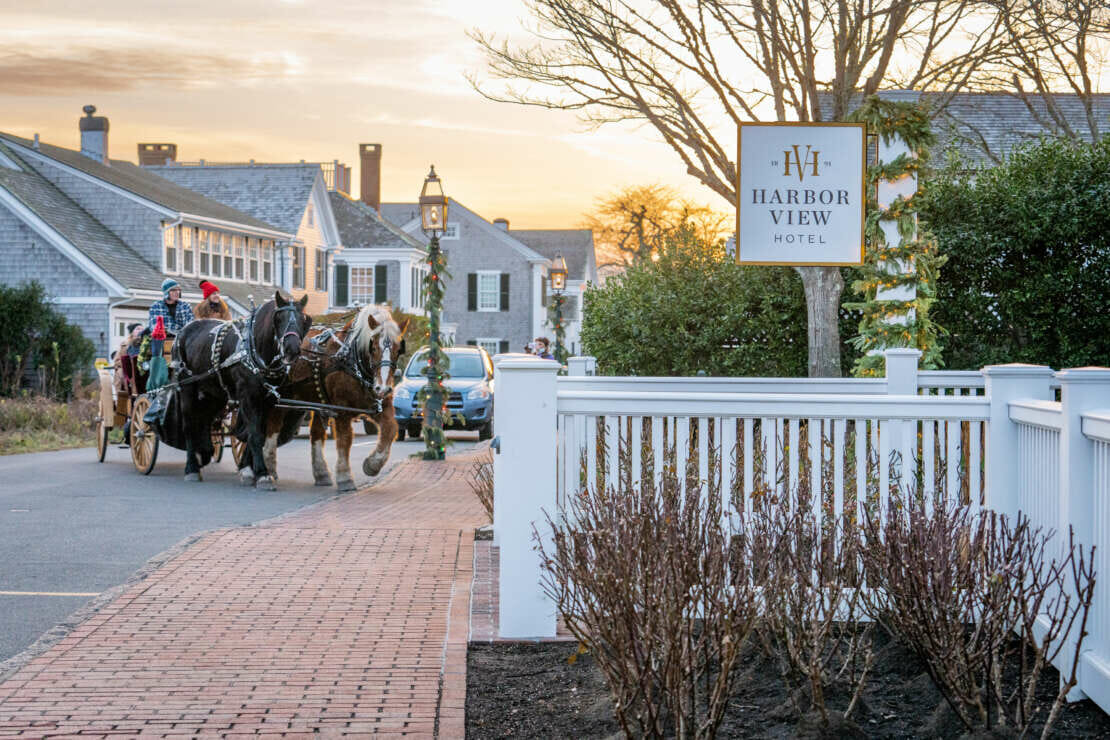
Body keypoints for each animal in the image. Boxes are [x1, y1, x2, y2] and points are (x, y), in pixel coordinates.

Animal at [261, 303, 410, 488]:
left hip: (319, 401)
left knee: (316, 433)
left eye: (398, 350)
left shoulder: (381, 405)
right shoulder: (342, 409)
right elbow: (345, 439)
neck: (353, 361)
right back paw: (269, 469)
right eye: (373, 348)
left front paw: (372, 465)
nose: (383, 388)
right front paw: (345, 477)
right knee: (273, 428)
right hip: (279, 397)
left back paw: (321, 474)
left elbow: (391, 430)